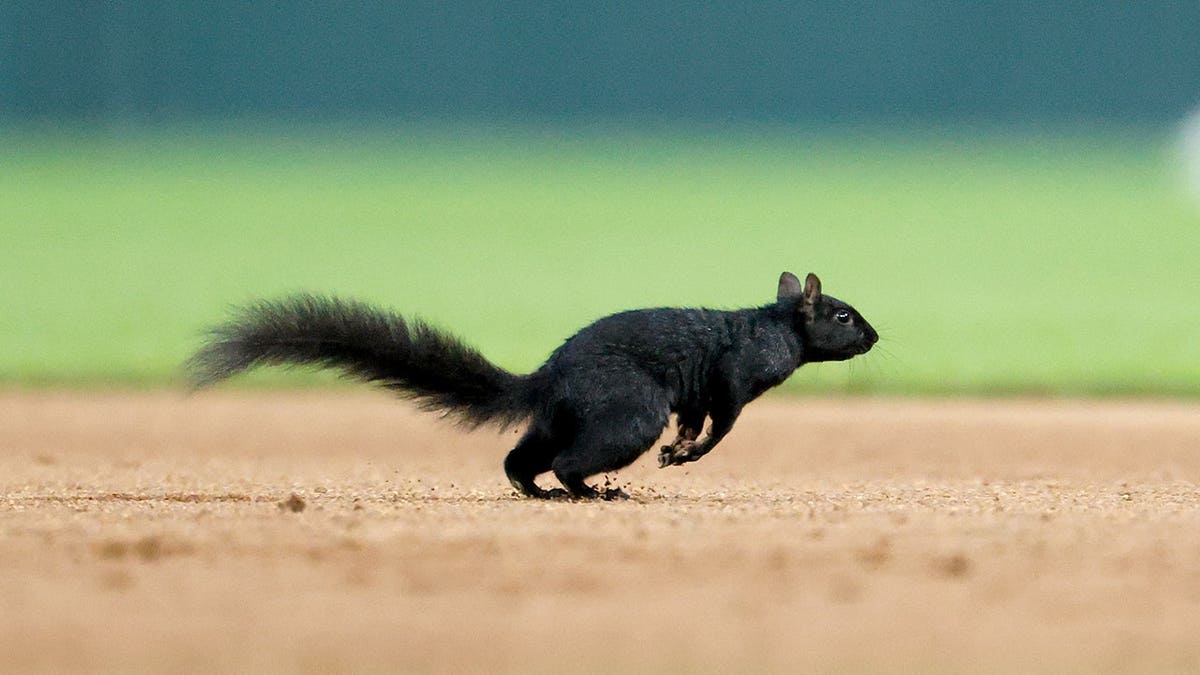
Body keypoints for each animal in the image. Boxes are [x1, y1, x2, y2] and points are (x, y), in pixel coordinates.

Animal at [188, 271, 877, 500]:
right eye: (843, 316)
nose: (874, 336)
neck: (775, 328)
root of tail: (548, 378)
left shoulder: (703, 393)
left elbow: (695, 420)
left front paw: (679, 450)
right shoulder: (734, 379)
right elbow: (721, 425)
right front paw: (685, 454)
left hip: (558, 419)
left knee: (521, 457)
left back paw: (536, 492)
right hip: (625, 412)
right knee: (570, 460)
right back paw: (591, 494)